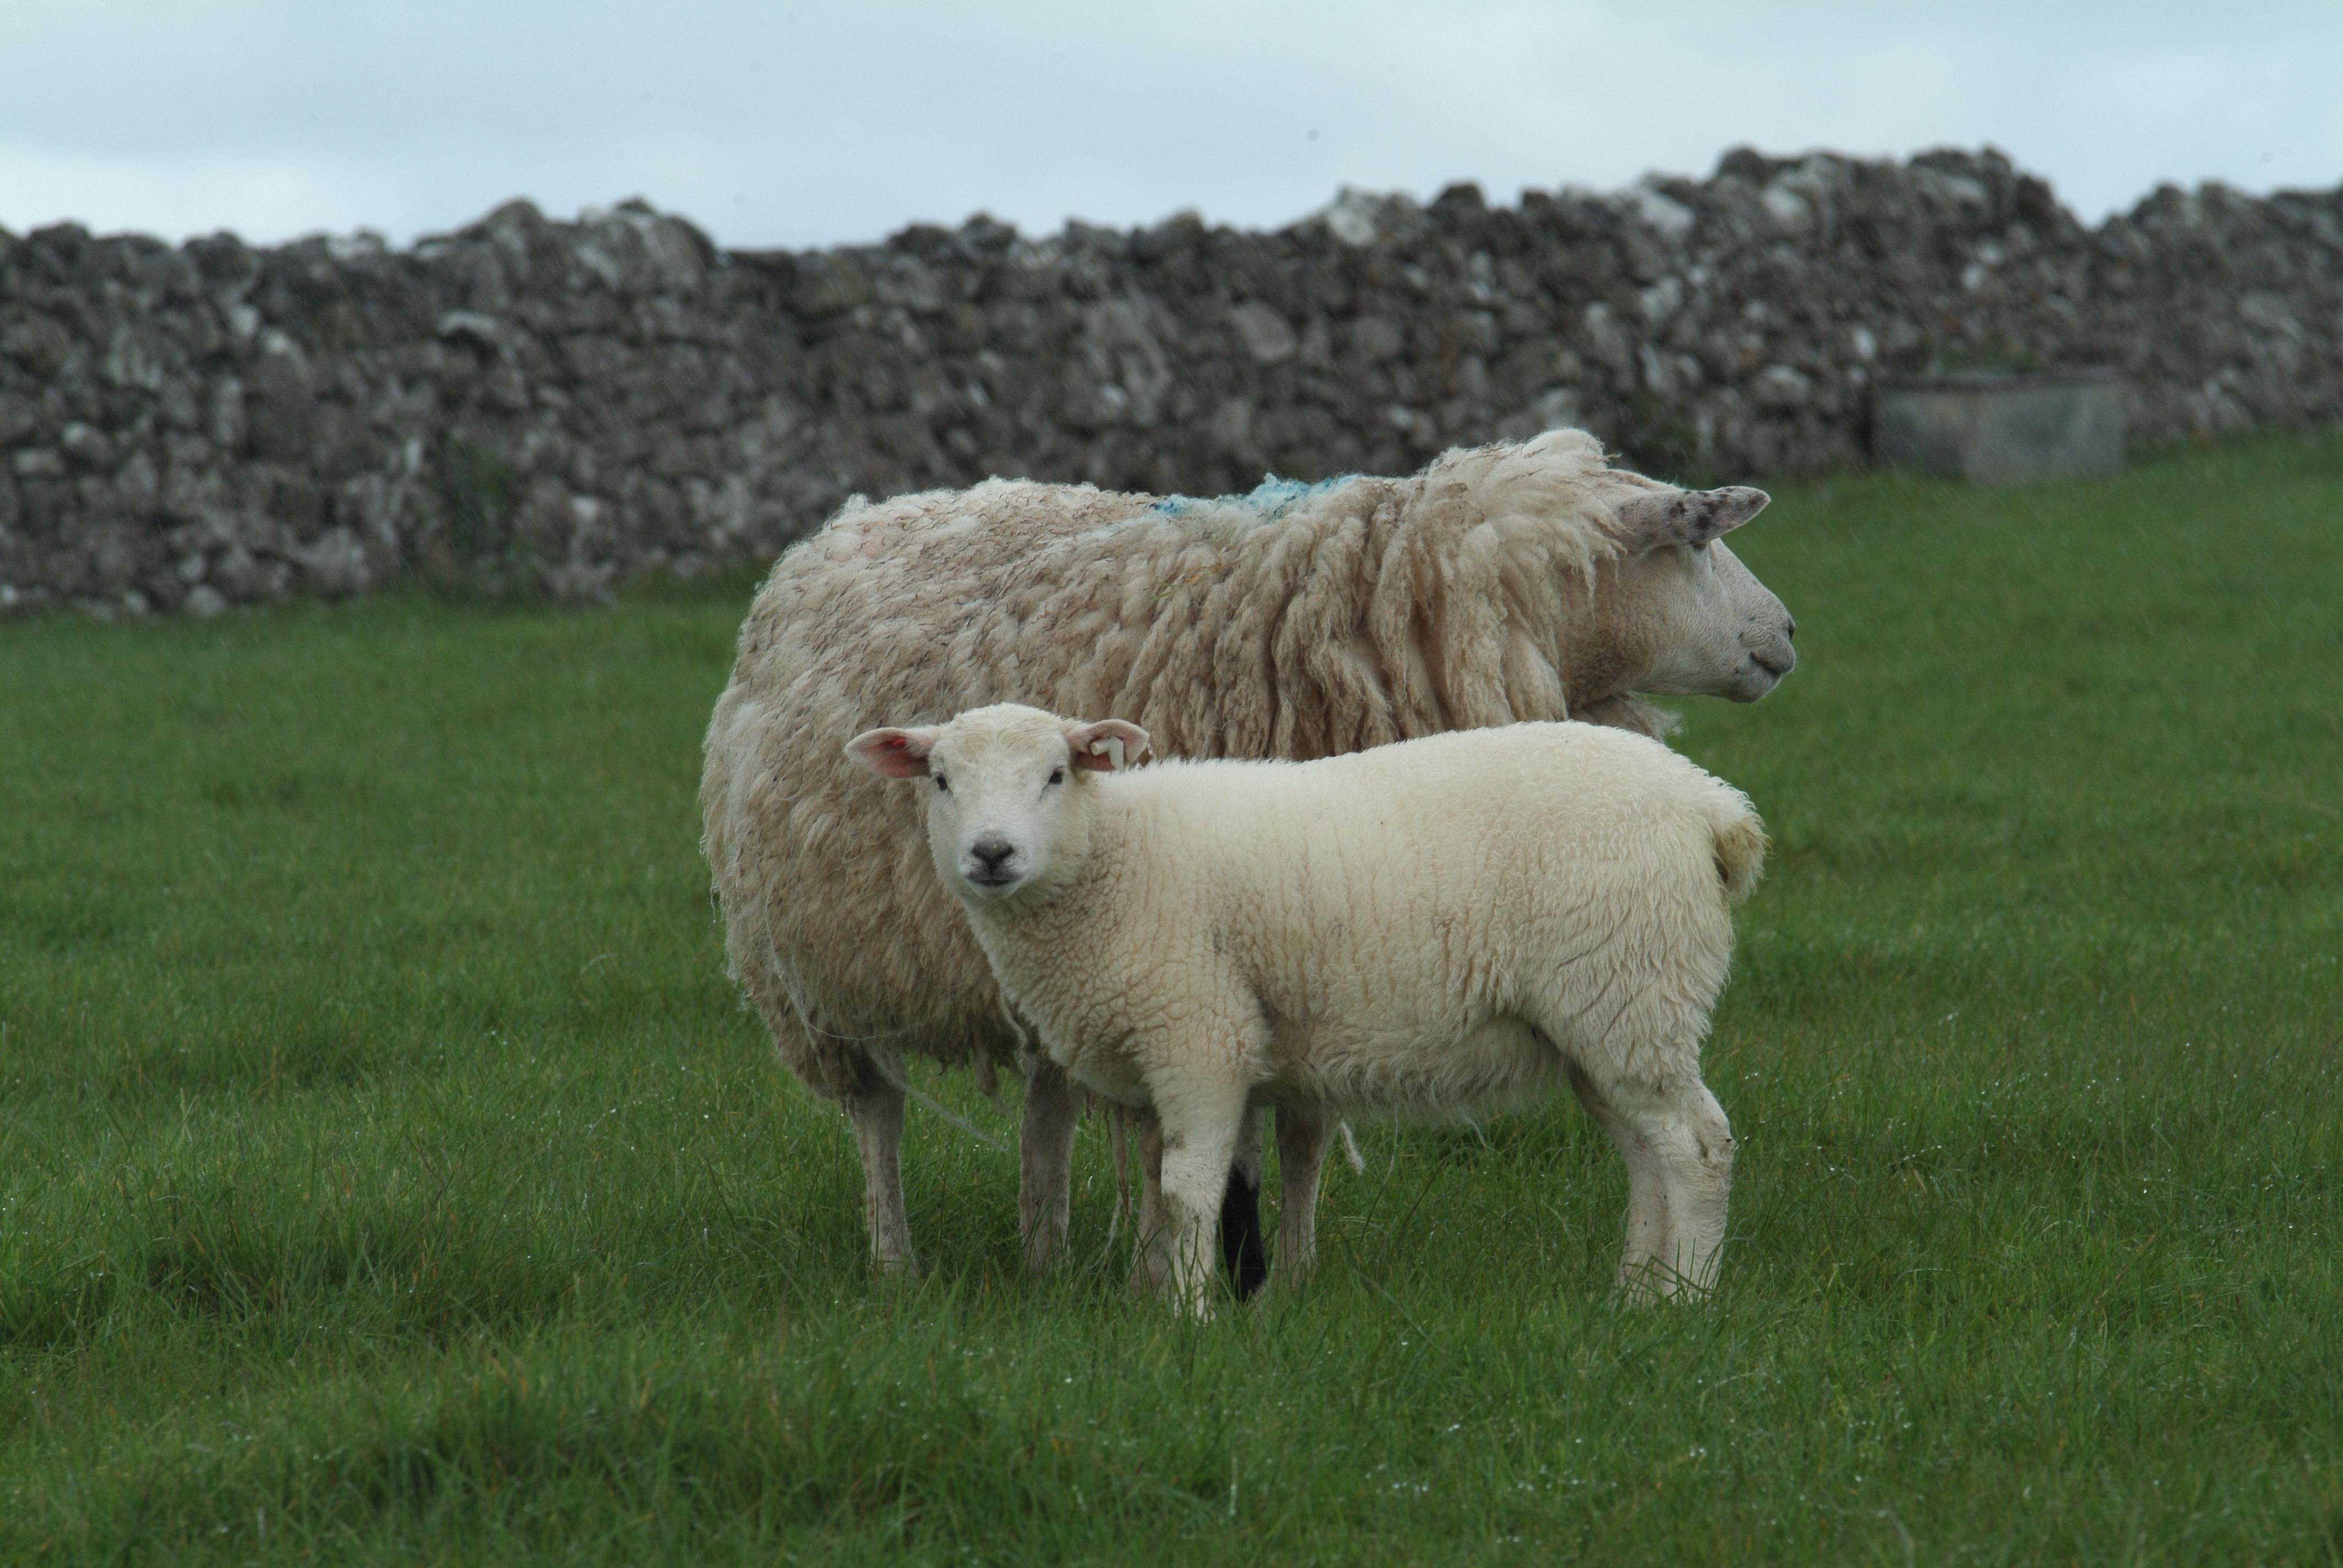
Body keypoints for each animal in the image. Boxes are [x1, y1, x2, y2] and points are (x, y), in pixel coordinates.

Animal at [847, 702, 1767, 1315]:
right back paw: (1634, 1297)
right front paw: (1147, 1292)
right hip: (1603, 1020)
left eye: (1055, 774)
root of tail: (1713, 807)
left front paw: (1189, 1319)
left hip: (1632, 985)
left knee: (1698, 1145)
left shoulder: (1200, 1031)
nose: (991, 853)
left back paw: (1687, 1300)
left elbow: (1189, 1186)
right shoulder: (1146, 1056)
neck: (1112, 859)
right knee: (1648, 1154)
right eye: (940, 780)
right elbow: (1151, 1182)